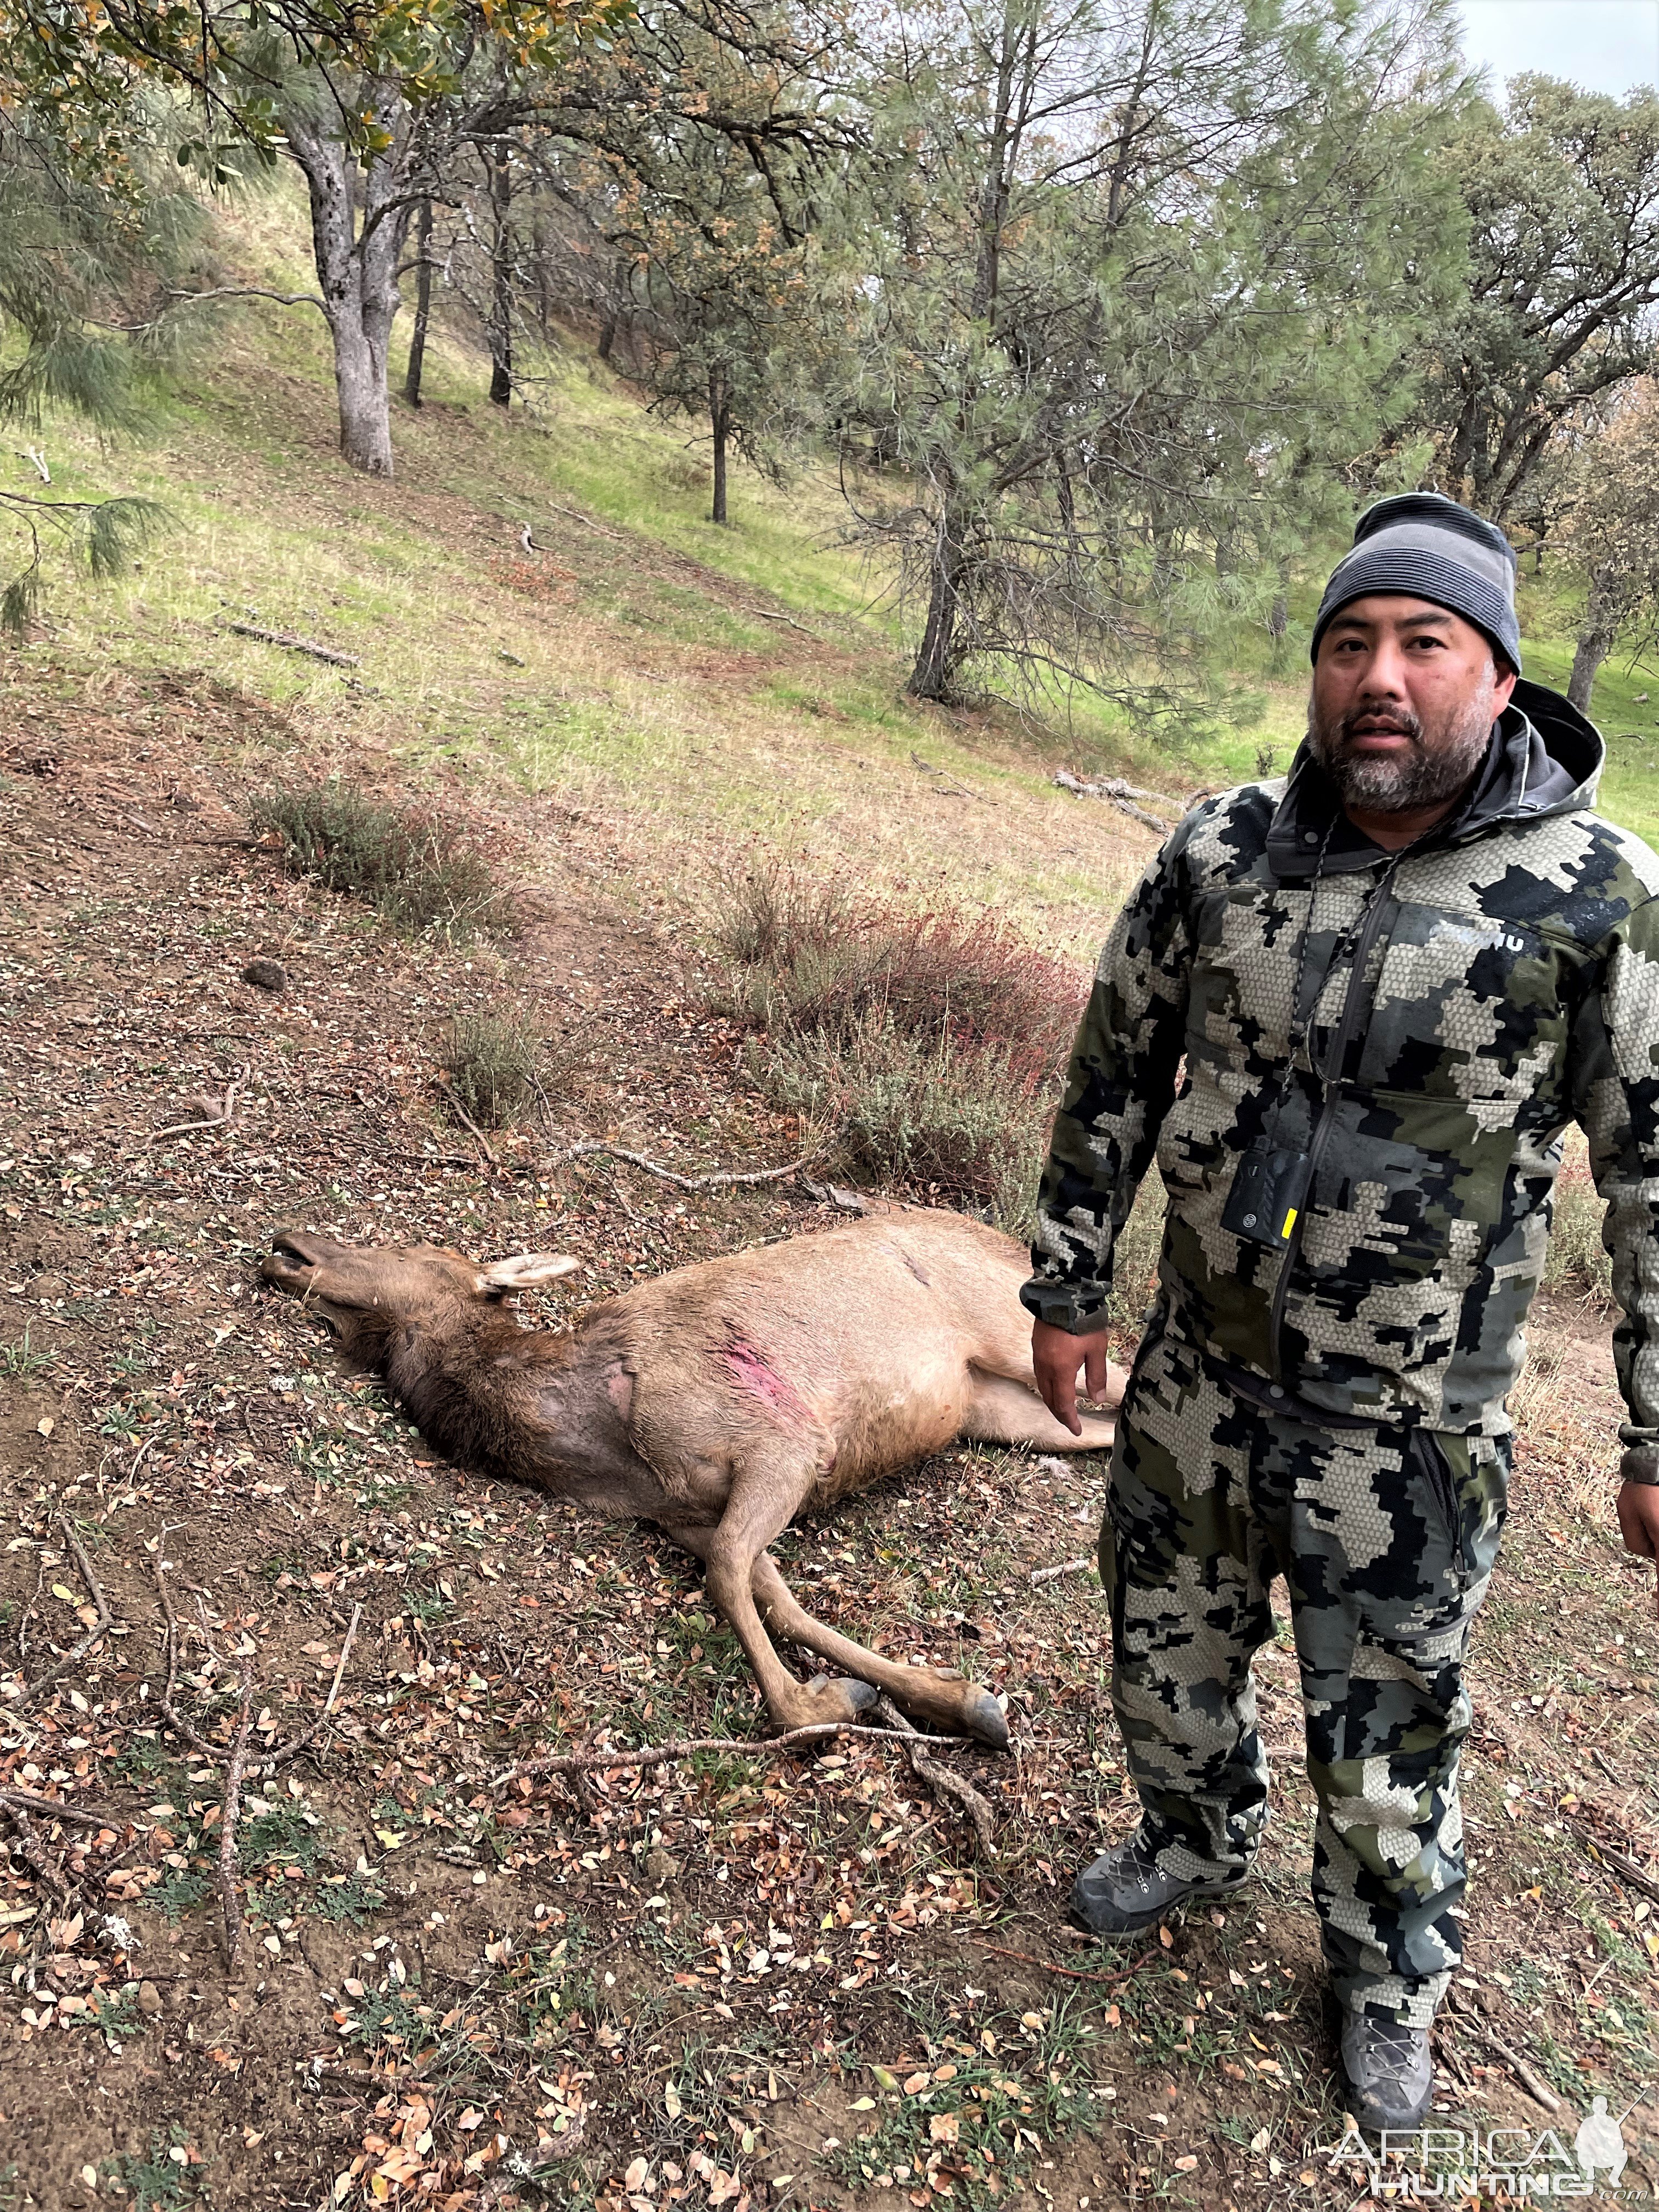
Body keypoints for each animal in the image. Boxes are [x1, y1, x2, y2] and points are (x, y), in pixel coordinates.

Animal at [259, 1212, 1124, 1743]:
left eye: (417, 1254)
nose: (286, 1243)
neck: (600, 1446)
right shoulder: (688, 1515)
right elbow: (774, 1596)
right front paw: (948, 1697)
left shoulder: (786, 1443)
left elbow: (730, 1576)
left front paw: (820, 1703)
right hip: (1003, 1408)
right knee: (1100, 1430)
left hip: (1014, 1333)